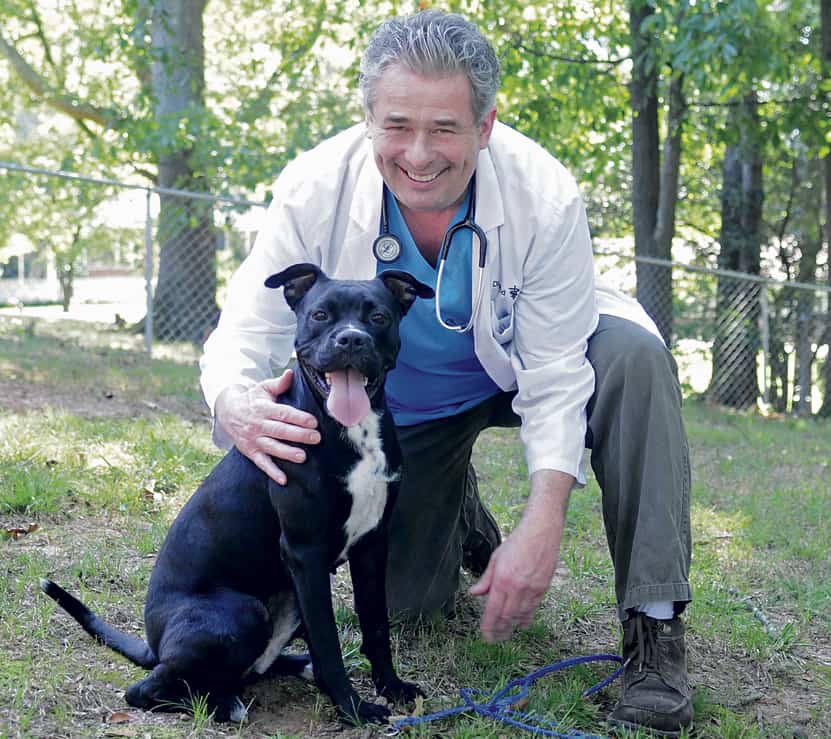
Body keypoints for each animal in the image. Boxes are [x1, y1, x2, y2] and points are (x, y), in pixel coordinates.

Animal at [41, 264, 436, 724]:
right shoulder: (306, 553)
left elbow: (376, 626)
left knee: (256, 666)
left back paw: (291, 670)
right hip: (243, 611)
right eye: (320, 315)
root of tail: (154, 644)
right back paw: (223, 705)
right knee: (145, 690)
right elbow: (330, 644)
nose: (352, 339)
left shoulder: (372, 544)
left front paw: (391, 686)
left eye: (378, 318)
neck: (352, 431)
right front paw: (353, 709)